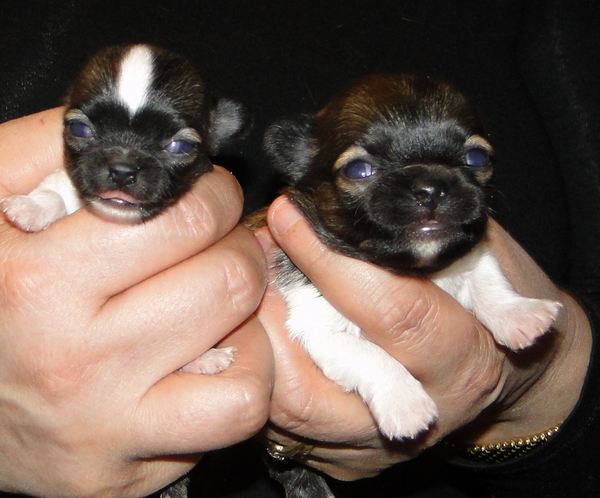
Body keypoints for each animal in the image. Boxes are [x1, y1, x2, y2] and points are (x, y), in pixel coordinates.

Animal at [261, 74, 562, 496]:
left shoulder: (472, 255)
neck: (418, 270)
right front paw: (406, 405)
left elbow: (489, 281)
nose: (431, 187)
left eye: (477, 159)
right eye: (358, 169)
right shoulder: (320, 327)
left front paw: (522, 316)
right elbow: (370, 356)